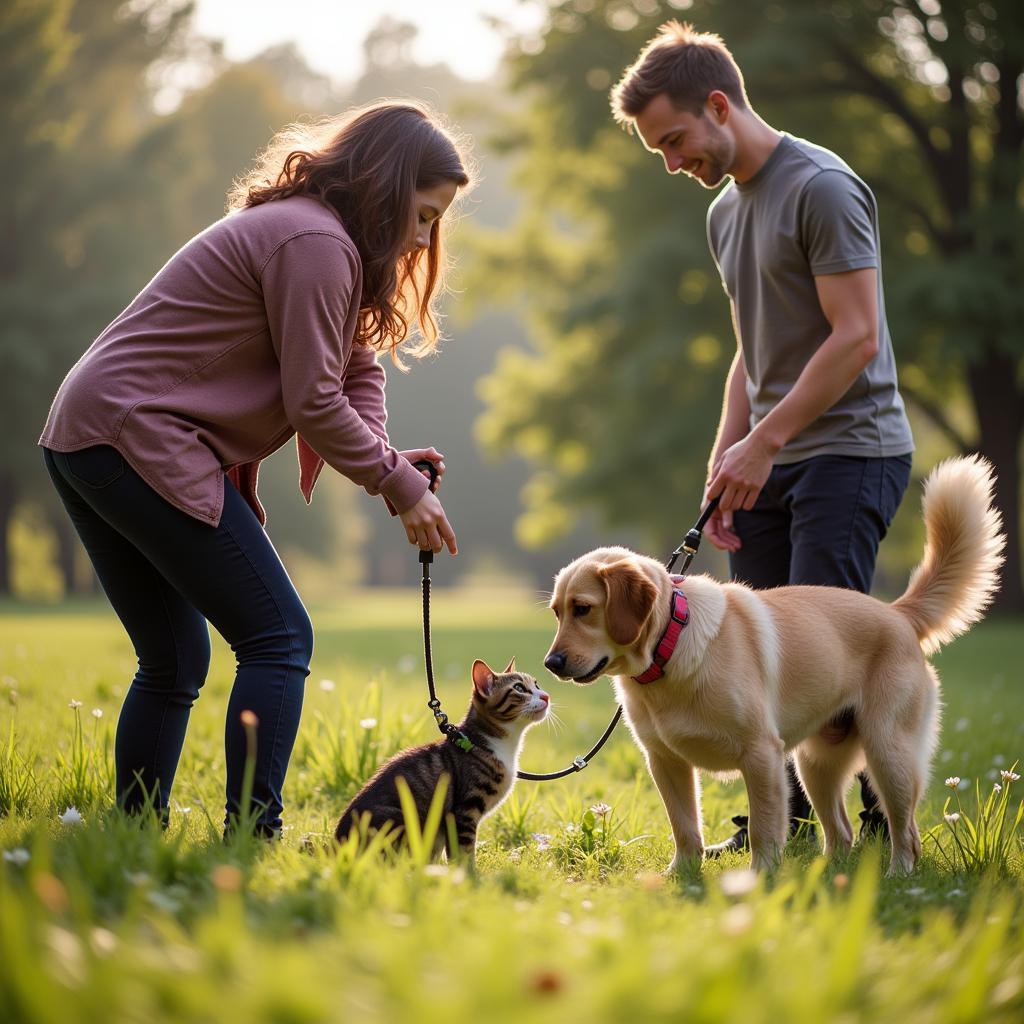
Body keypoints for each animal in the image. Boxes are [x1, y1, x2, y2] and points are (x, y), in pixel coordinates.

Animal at [335, 659, 548, 860]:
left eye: (537, 684)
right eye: (519, 688)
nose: (546, 695)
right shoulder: (463, 811)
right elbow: (464, 853)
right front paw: (468, 873)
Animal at [548, 456, 1003, 872]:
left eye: (583, 609)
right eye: (556, 612)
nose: (551, 663)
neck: (671, 647)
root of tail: (897, 613)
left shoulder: (761, 755)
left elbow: (764, 829)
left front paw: (760, 879)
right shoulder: (665, 762)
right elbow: (685, 827)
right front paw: (681, 876)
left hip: (887, 754)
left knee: (904, 831)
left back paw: (896, 876)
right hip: (814, 765)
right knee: (841, 831)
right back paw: (828, 877)